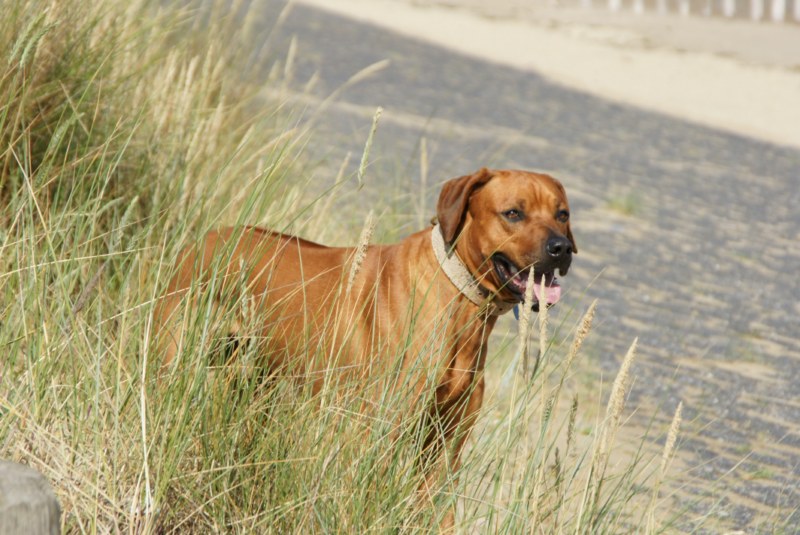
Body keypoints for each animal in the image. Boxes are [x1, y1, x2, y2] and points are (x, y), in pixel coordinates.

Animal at [153, 168, 576, 528]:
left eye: (563, 214)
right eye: (513, 213)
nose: (561, 248)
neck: (459, 301)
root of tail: (203, 240)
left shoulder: (446, 444)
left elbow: (439, 511)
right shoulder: (377, 432)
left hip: (256, 381)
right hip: (176, 357)